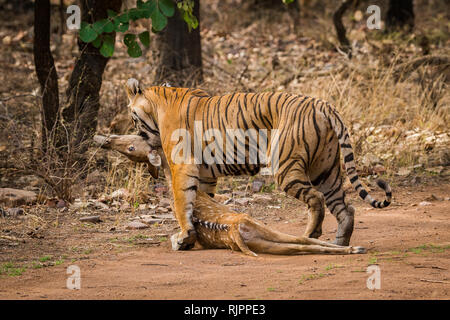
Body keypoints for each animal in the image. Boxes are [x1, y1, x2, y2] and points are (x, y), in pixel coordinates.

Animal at [125, 78, 392, 250]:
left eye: (132, 117)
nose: (137, 134)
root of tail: (322, 105)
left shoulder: (182, 166)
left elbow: (182, 203)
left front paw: (184, 236)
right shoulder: (206, 174)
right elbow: (202, 202)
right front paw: (196, 233)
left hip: (286, 166)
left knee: (317, 199)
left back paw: (311, 235)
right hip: (325, 169)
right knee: (345, 208)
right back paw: (339, 242)